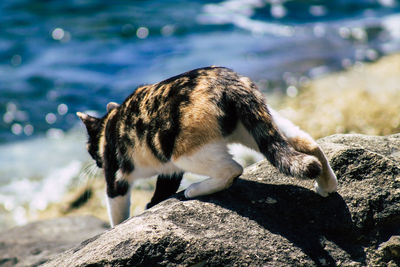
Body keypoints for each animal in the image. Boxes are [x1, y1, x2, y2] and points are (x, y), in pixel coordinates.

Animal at [76, 67, 338, 228]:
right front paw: (153, 203)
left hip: (185, 151)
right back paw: (327, 185)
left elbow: (117, 211)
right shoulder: (168, 169)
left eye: (90, 149)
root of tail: (231, 82)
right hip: (259, 127)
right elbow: (164, 187)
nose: (95, 161)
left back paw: (194, 191)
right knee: (307, 144)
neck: (110, 123)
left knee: (233, 168)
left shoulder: (116, 176)